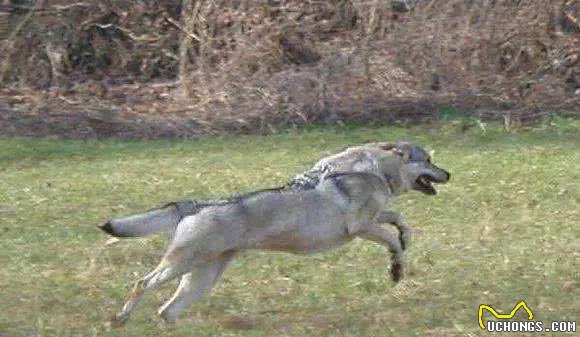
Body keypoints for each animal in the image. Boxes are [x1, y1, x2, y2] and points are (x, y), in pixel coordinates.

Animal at [109, 142, 450, 326]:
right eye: (429, 160)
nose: (450, 174)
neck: (373, 170)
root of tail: (195, 204)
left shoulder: (375, 218)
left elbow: (400, 221)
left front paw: (406, 240)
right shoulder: (360, 228)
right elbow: (392, 240)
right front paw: (396, 269)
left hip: (201, 279)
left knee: (167, 310)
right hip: (181, 266)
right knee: (142, 284)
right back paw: (121, 318)